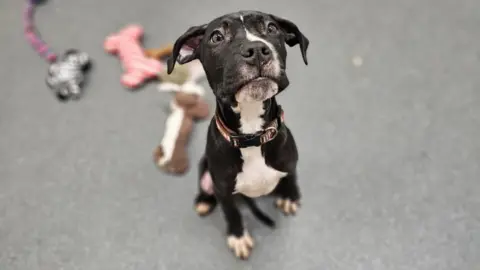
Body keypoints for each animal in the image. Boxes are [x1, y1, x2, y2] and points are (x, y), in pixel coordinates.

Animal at [166, 11, 308, 260]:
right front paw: (238, 237)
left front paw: (290, 196)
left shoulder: (290, 163)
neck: (251, 135)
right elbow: (232, 213)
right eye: (216, 37)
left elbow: (291, 178)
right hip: (205, 168)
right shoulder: (223, 189)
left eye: (272, 28)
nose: (258, 50)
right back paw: (203, 201)